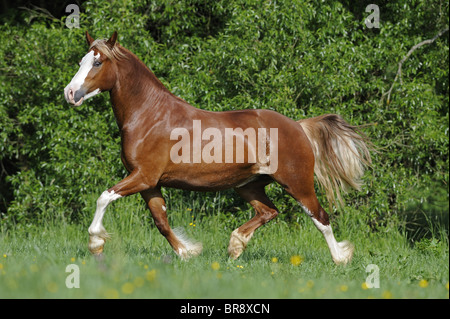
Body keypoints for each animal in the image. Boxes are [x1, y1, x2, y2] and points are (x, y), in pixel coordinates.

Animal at [64, 30, 372, 264]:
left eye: (98, 63)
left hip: (297, 183)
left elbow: (103, 197)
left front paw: (95, 244)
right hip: (249, 185)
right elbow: (161, 221)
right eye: (81, 60)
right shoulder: (150, 183)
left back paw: (340, 259)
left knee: (320, 218)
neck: (149, 115)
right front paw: (187, 253)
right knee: (269, 212)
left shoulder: (142, 177)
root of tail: (298, 126)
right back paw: (235, 247)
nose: (70, 93)